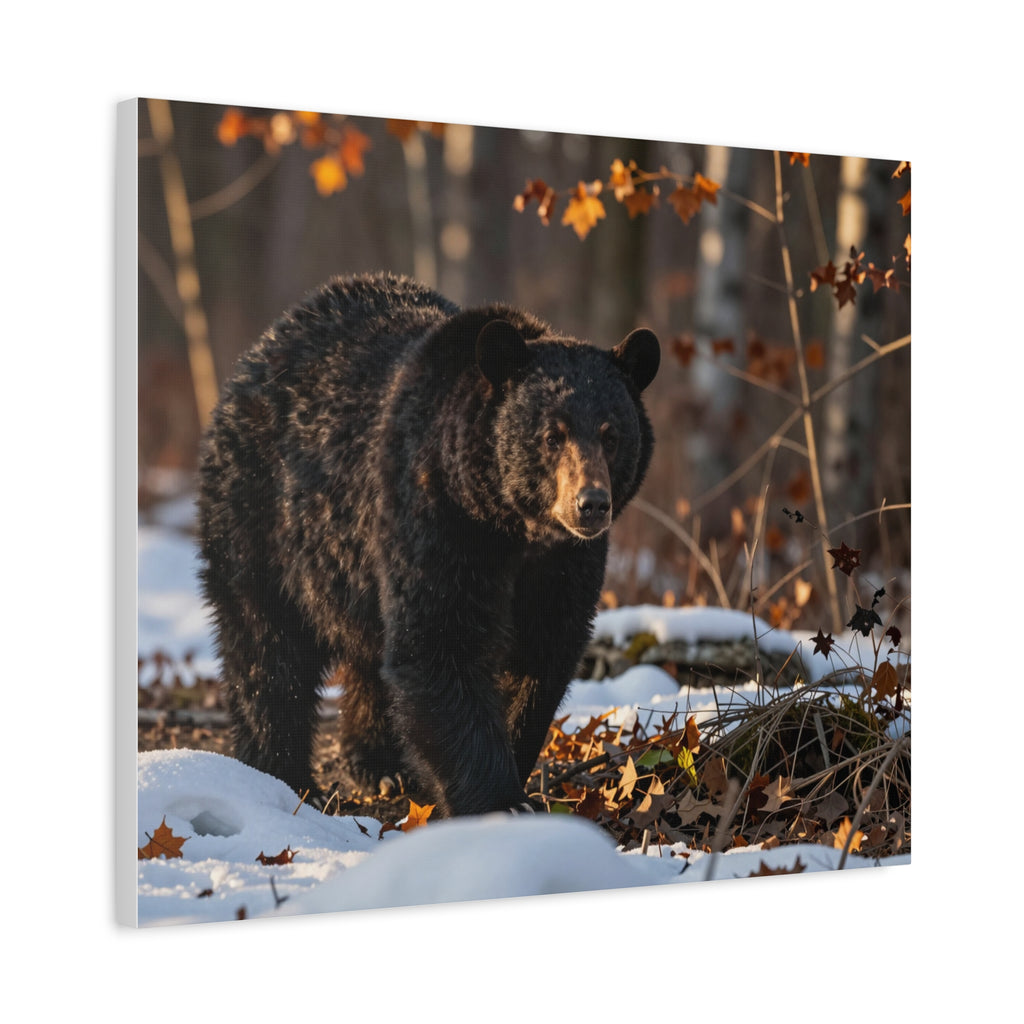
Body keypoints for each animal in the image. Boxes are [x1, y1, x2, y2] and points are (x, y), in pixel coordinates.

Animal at [197, 272, 659, 817]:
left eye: (612, 434)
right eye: (553, 434)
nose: (591, 505)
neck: (509, 525)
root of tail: (259, 352)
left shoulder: (564, 563)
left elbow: (542, 653)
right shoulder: (432, 518)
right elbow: (439, 643)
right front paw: (499, 800)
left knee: (367, 656)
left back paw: (379, 765)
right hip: (261, 515)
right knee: (266, 646)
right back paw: (280, 775)